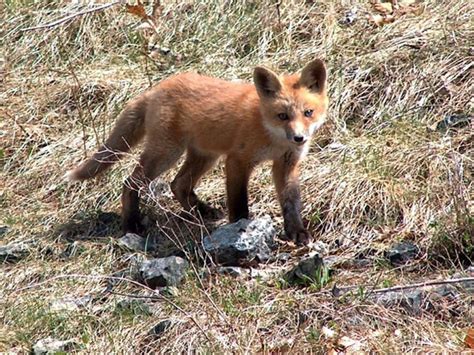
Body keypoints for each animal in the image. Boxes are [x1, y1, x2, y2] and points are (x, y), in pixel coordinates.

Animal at [65, 59, 326, 246]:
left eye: (308, 112)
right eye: (282, 116)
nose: (299, 138)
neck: (272, 137)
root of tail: (156, 89)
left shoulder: (287, 164)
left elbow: (291, 202)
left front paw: (297, 232)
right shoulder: (237, 160)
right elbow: (239, 202)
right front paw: (240, 228)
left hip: (204, 156)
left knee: (178, 184)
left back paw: (201, 211)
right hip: (167, 154)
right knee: (131, 182)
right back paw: (131, 225)